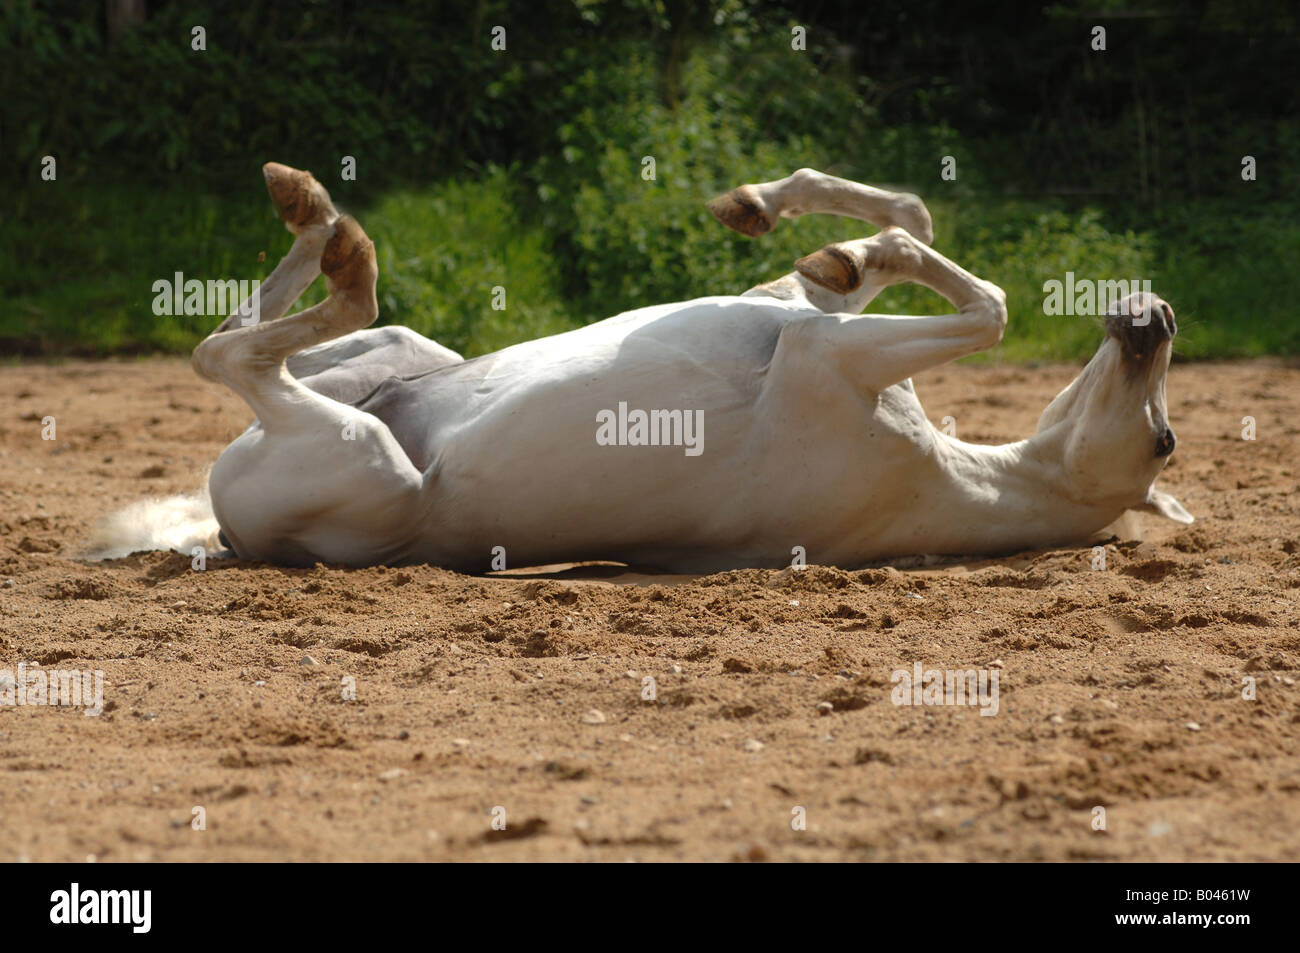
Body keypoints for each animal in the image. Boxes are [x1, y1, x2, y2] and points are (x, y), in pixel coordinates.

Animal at [183, 161, 1190, 572]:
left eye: (1164, 443)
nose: (1157, 314)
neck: (948, 471)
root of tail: (232, 532)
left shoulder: (825, 352)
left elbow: (989, 306)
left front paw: (850, 242)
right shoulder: (804, 315)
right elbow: (910, 224)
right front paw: (784, 215)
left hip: (363, 454)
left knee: (227, 351)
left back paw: (328, 227)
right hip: (400, 360)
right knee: (267, 334)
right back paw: (314, 213)